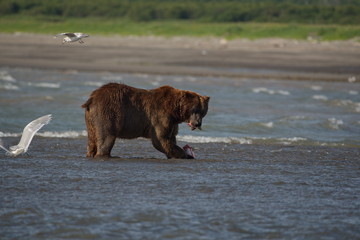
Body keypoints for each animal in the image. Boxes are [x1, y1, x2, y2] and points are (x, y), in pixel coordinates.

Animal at [81, 83, 211, 158]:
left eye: (203, 112)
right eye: (195, 109)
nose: (197, 123)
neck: (175, 111)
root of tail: (92, 98)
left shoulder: (173, 122)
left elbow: (171, 138)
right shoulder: (160, 115)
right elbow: (160, 139)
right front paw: (186, 155)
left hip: (91, 120)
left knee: (92, 139)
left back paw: (90, 153)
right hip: (108, 113)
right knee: (107, 137)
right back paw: (105, 154)